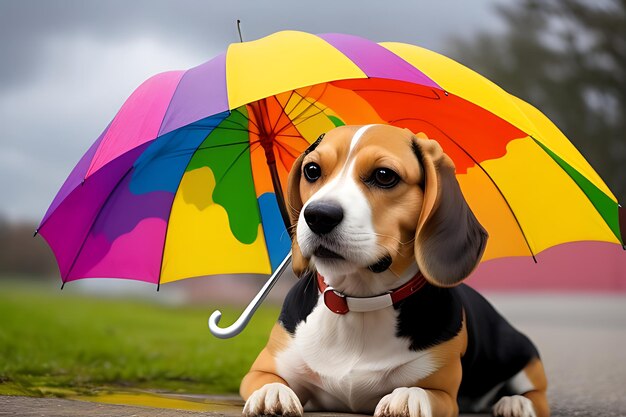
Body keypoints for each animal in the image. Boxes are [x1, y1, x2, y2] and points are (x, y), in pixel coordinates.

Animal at [239, 124, 544, 416]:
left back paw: (514, 404)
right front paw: (272, 394)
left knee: (536, 396)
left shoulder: (444, 394)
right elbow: (268, 380)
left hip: (526, 358)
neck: (359, 302)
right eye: (312, 170)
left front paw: (407, 396)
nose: (318, 216)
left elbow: (420, 391)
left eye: (385, 176)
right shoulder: (261, 370)